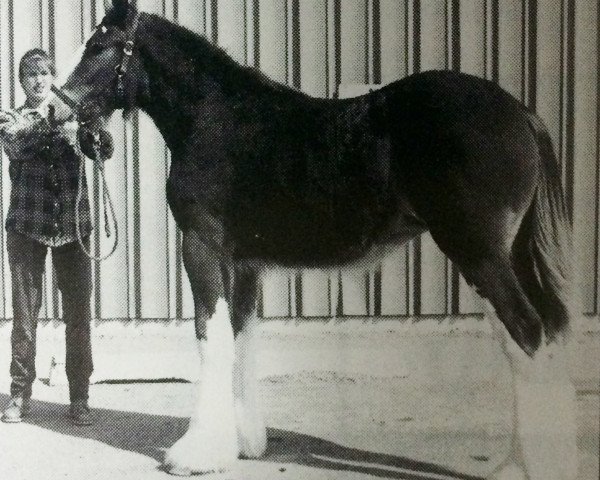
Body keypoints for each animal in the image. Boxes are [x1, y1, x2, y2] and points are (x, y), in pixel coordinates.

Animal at [59, 1, 576, 478]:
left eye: (101, 45)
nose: (59, 106)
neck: (214, 119)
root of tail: (524, 116)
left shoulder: (201, 247)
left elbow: (211, 337)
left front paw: (195, 453)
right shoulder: (244, 262)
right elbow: (241, 337)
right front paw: (243, 442)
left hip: (479, 255)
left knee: (528, 334)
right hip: (503, 256)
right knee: (532, 339)